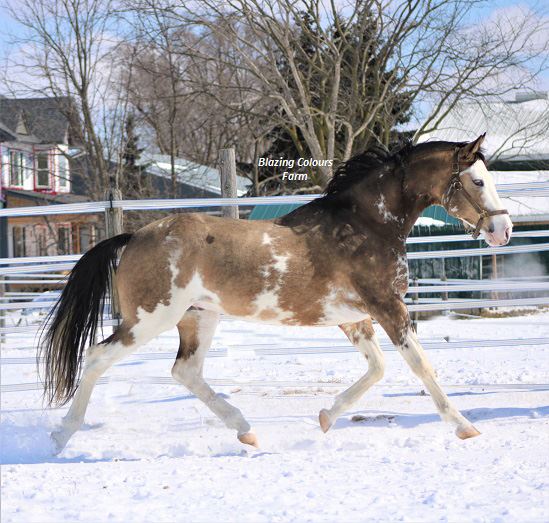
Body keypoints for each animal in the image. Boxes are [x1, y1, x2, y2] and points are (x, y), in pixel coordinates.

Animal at [41, 133, 510, 452]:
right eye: (476, 181)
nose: (502, 229)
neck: (365, 225)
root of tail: (133, 237)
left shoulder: (355, 318)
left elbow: (377, 369)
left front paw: (325, 417)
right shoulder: (387, 307)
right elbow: (422, 367)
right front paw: (465, 426)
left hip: (198, 317)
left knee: (185, 372)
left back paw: (246, 431)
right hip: (149, 318)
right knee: (97, 358)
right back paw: (61, 436)